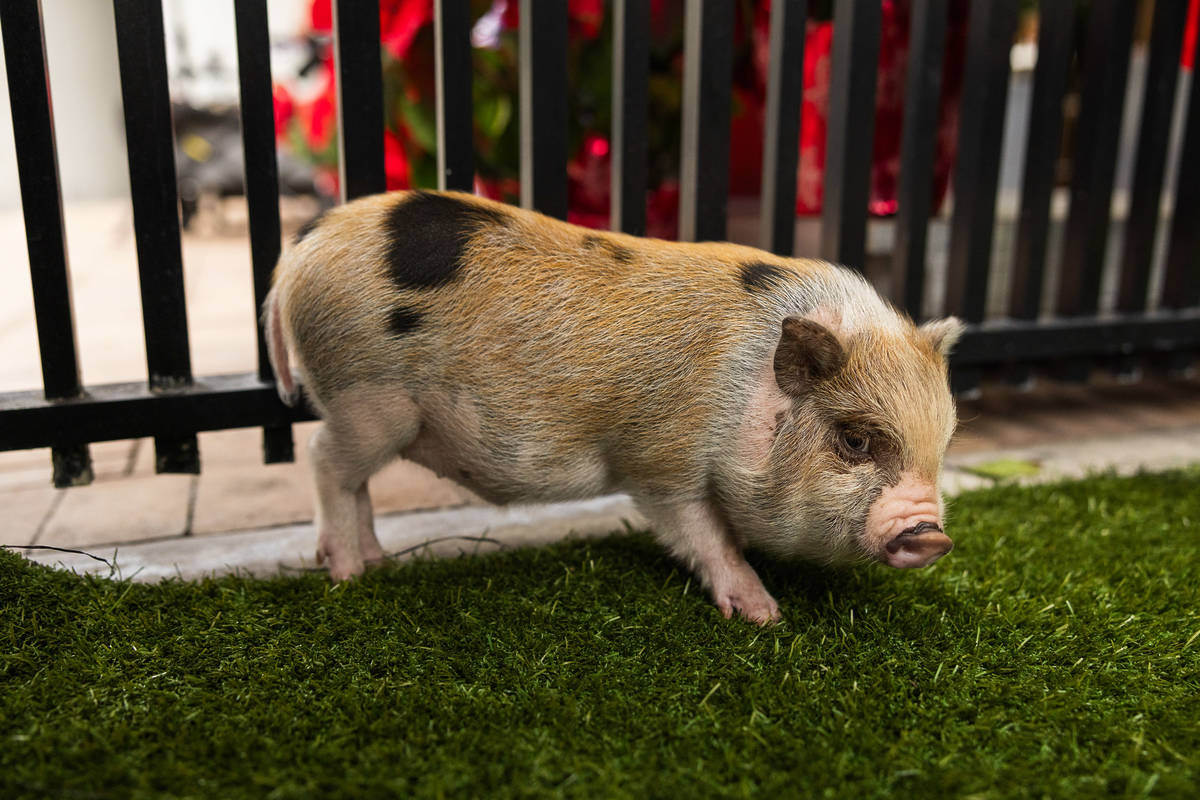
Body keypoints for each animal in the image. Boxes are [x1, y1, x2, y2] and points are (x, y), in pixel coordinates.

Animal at [265, 190, 964, 624]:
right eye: (854, 440)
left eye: (943, 445)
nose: (933, 533)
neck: (745, 389)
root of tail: (300, 250)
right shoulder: (661, 460)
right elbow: (706, 536)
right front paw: (765, 617)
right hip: (369, 400)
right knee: (325, 461)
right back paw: (347, 576)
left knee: (352, 480)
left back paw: (378, 563)